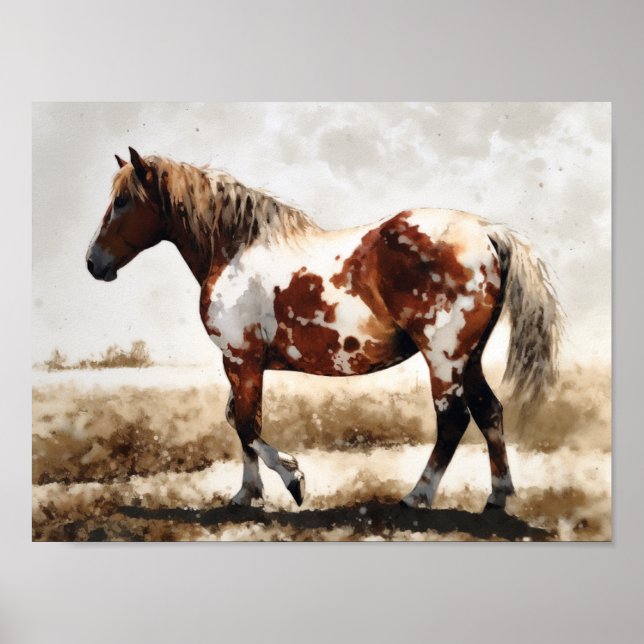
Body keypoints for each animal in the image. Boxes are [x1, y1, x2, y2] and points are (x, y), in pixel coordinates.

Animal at [87, 147, 562, 511]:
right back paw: (497, 497)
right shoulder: (241, 364)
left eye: (123, 200)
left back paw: (418, 496)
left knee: (453, 420)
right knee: (489, 412)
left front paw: (291, 481)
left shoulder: (240, 359)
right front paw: (248, 494)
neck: (234, 250)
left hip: (444, 357)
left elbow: (246, 425)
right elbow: (240, 423)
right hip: (469, 358)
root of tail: (488, 232)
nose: (93, 263)